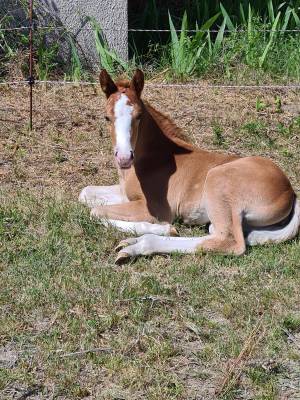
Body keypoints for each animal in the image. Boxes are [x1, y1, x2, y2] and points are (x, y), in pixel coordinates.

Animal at [79, 69, 300, 262]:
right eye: (106, 117)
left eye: (139, 116)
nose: (124, 158)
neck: (155, 157)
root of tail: (290, 191)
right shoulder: (125, 195)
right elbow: (85, 194)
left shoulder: (154, 208)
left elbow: (95, 211)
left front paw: (165, 228)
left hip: (218, 179)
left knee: (228, 242)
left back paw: (137, 246)